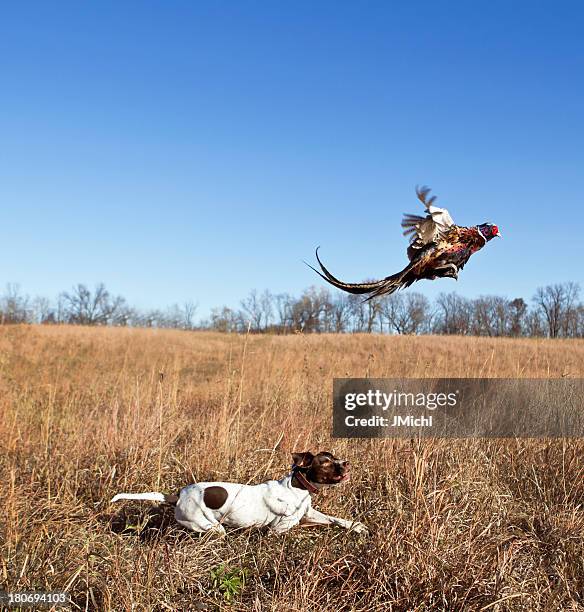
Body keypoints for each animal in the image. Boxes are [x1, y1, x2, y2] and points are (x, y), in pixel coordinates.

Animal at [110, 450, 368, 536]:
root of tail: (179, 495)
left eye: (334, 457)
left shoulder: (309, 514)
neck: (298, 488)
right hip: (211, 526)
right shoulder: (279, 529)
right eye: (325, 462)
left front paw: (356, 526)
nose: (346, 463)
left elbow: (335, 519)